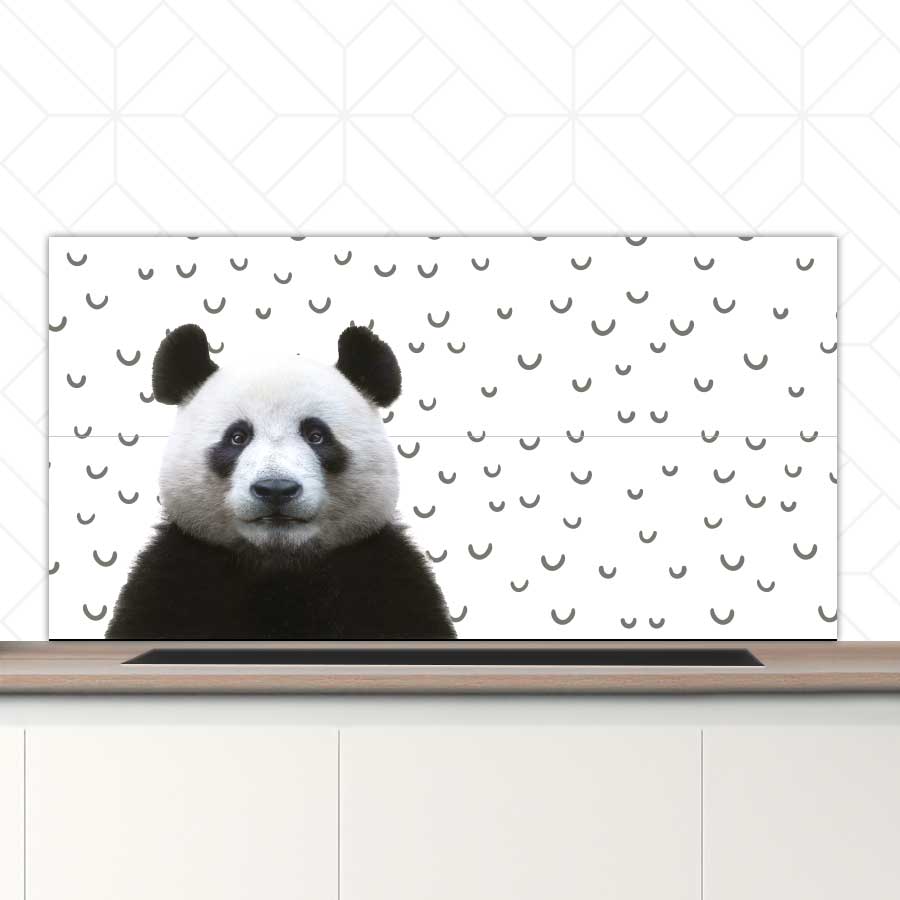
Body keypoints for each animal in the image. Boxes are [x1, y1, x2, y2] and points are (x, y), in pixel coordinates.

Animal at [106, 323, 456, 640]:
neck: (279, 564)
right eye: (237, 437)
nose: (276, 489)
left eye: (316, 435)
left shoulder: (382, 577)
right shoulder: (176, 575)